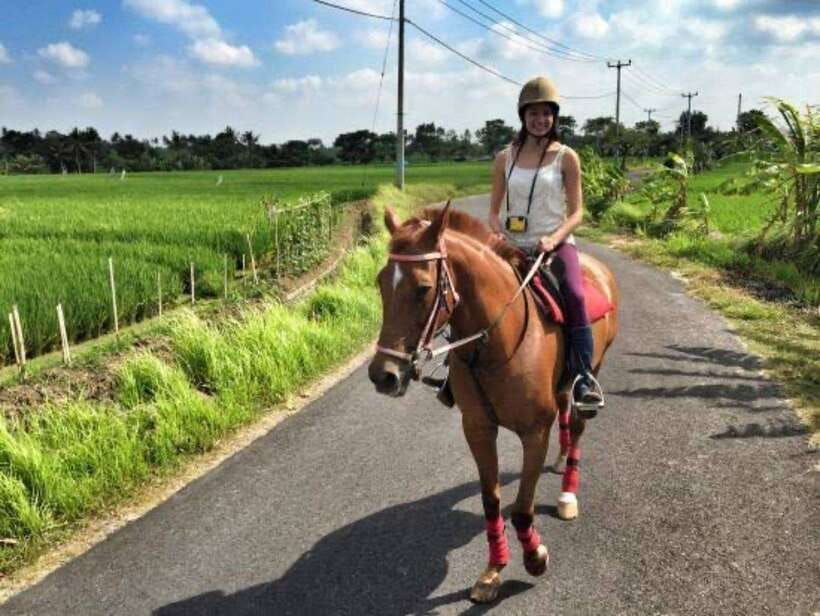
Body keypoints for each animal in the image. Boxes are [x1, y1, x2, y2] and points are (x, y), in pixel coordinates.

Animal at [367, 202, 619, 603]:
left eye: (423, 288)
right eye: (380, 282)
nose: (384, 375)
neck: (497, 341)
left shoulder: (534, 433)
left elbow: (523, 509)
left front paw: (534, 557)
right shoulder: (478, 429)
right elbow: (492, 502)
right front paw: (492, 571)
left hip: (593, 367)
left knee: (578, 423)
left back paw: (567, 492)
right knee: (566, 412)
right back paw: (560, 458)